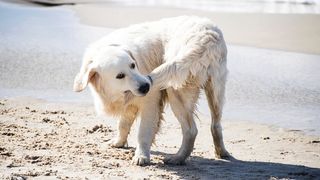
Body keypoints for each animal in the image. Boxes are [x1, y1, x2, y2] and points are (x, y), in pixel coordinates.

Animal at [74, 15, 230, 166]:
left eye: (133, 65)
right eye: (120, 75)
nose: (146, 86)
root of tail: (207, 37)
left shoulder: (150, 102)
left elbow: (143, 131)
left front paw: (141, 156)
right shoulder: (129, 103)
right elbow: (123, 124)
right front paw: (119, 142)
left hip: (176, 90)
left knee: (191, 130)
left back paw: (177, 158)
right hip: (216, 91)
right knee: (216, 125)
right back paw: (221, 152)